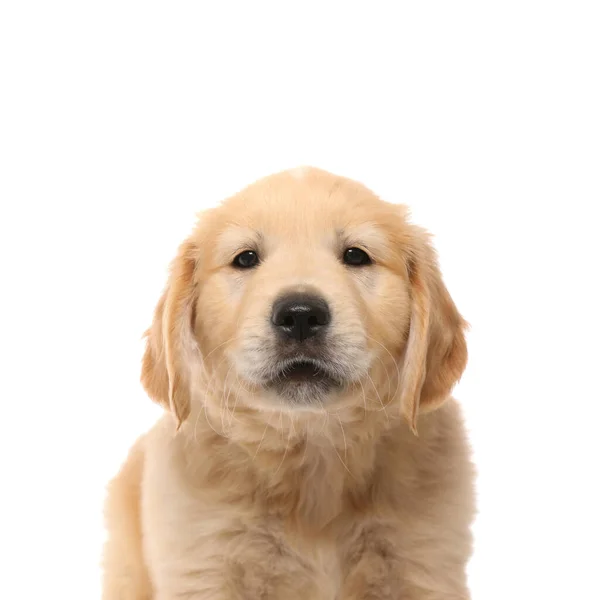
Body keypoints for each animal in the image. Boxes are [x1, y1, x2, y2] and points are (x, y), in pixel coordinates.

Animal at [104, 168, 478, 600]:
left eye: (356, 255)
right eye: (246, 258)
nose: (300, 315)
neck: (312, 451)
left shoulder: (424, 563)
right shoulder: (204, 566)